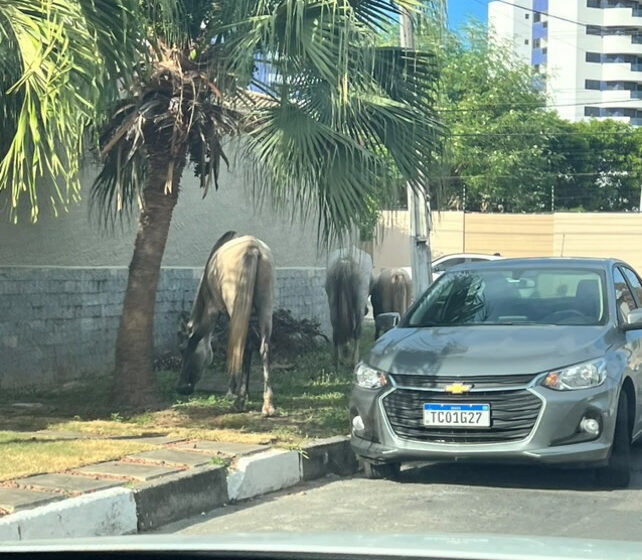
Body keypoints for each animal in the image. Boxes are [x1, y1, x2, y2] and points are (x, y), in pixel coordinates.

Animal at [176, 232, 274, 416]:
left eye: (182, 350)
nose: (184, 388)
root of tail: (253, 249)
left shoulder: (213, 309)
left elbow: (198, 338)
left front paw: (232, 390)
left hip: (235, 306)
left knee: (241, 345)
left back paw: (240, 401)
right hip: (265, 305)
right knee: (263, 347)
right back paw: (266, 404)